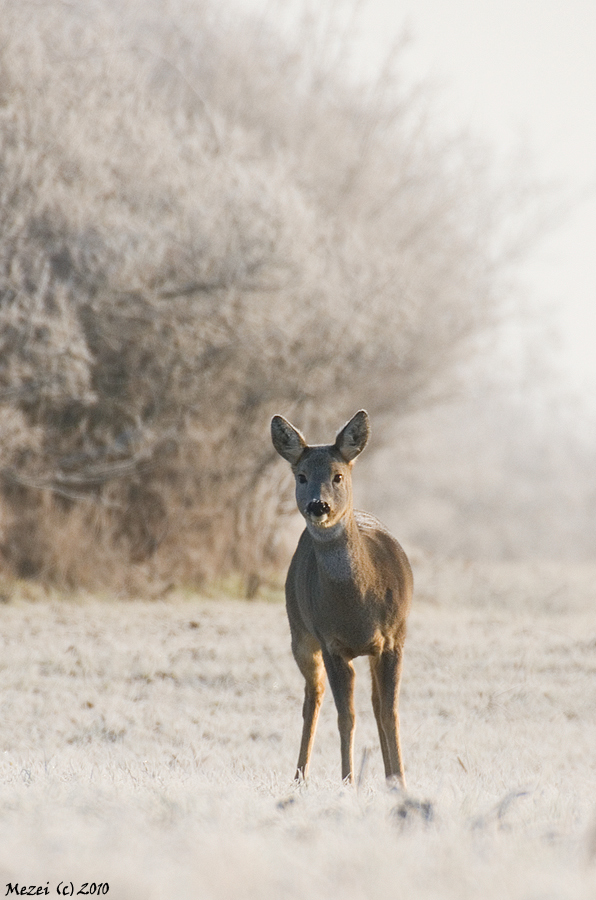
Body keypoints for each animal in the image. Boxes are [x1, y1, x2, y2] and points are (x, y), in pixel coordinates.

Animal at [271, 409, 412, 787]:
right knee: (313, 699)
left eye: (338, 475)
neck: (357, 607)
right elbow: (346, 716)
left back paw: (387, 776)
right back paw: (299, 776)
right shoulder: (331, 643)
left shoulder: (394, 639)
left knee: (375, 704)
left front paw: (400, 781)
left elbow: (389, 712)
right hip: (299, 633)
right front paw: (348, 781)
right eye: (301, 476)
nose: (317, 505)